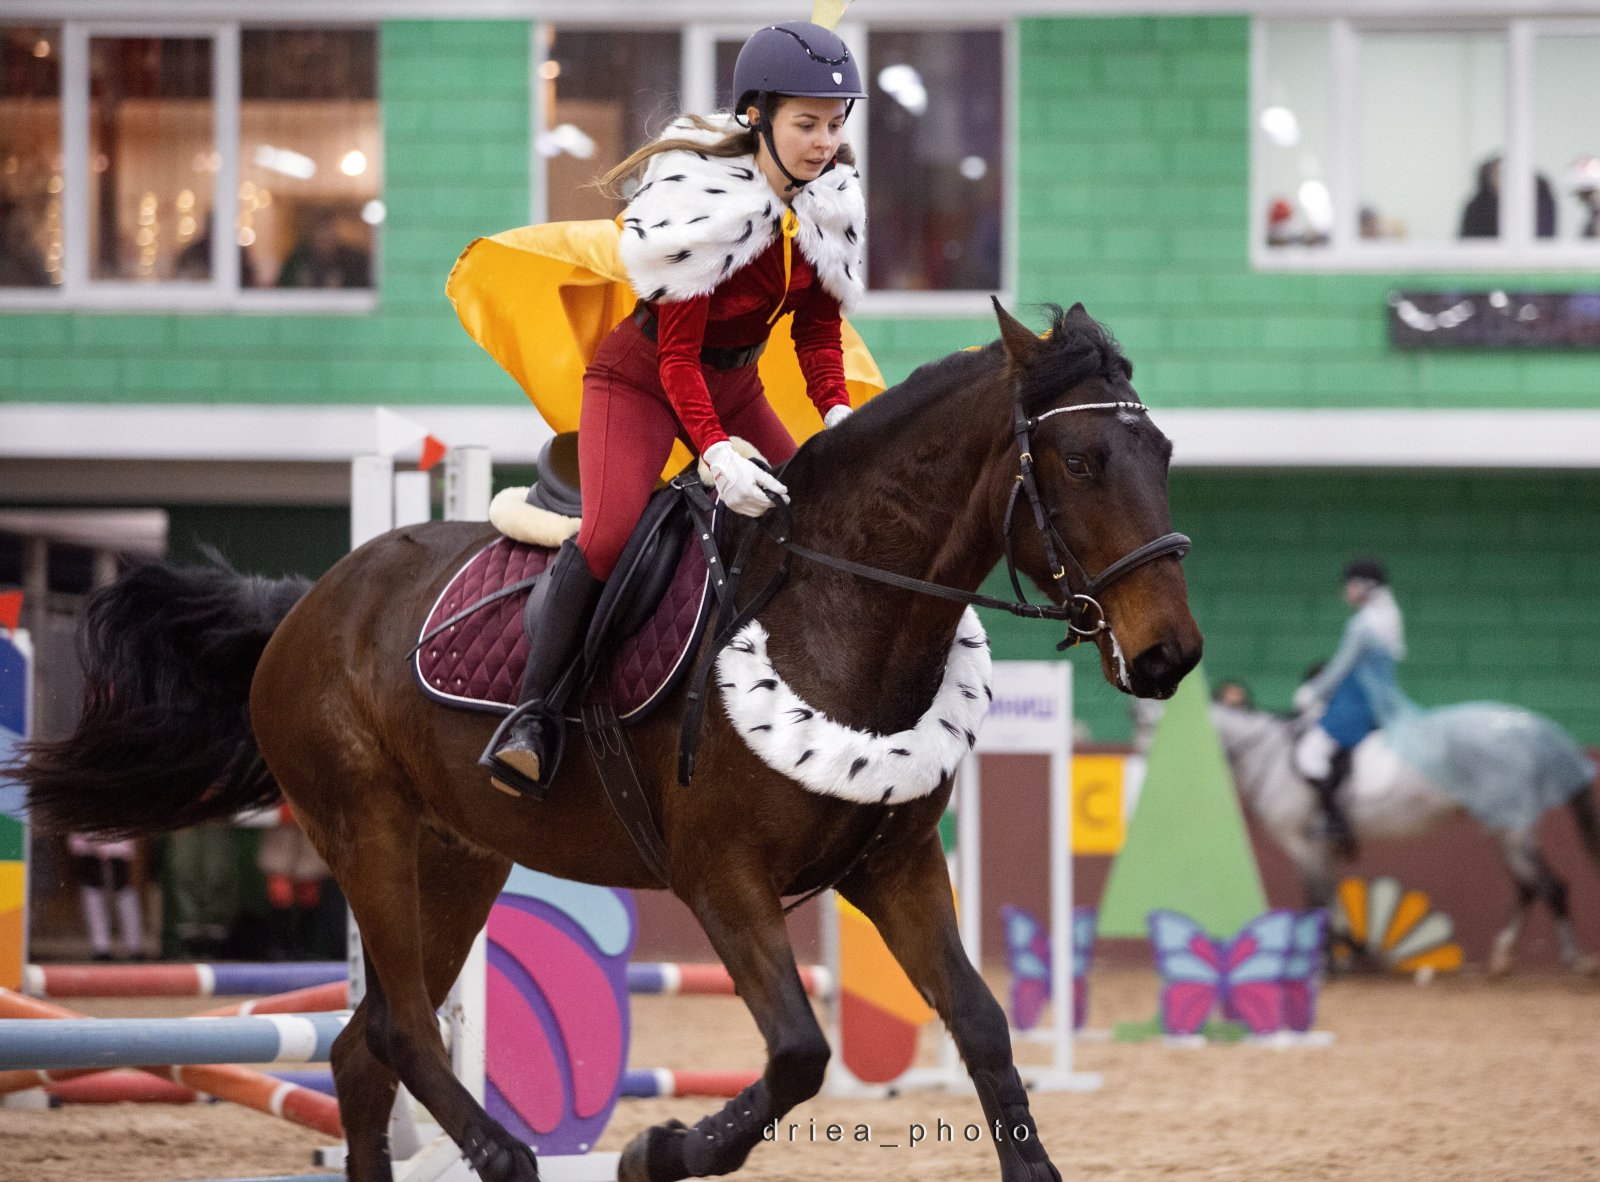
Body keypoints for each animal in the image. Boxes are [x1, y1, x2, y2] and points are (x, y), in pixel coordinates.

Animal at [14, 301, 1201, 1182]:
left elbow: (985, 1031)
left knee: (360, 1051)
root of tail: (307, 602)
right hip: (366, 833)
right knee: (402, 1031)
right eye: (1082, 460)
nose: (1170, 657)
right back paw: (504, 1155)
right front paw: (660, 1148)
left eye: (1161, 449)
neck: (840, 611)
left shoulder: (896, 867)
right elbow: (801, 1051)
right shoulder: (721, 877)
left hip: (457, 858)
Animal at [1212, 702, 1600, 974]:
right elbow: (1330, 903)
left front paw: (1330, 964)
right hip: (1504, 830)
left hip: (1511, 829)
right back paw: (1502, 958)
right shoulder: (1325, 849)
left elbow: (1317, 902)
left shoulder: (1303, 846)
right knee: (1529, 886)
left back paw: (1574, 961)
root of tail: (1526, 725)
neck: (1268, 756)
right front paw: (1346, 957)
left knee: (1550, 886)